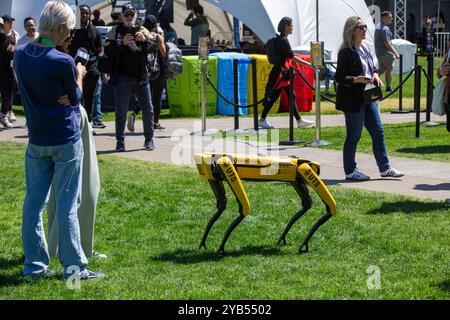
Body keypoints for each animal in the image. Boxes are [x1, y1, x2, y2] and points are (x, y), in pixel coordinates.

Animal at [194, 153, 338, 258]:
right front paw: (208, 244)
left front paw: (220, 248)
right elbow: (225, 205)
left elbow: (243, 208)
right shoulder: (216, 178)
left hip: (302, 173)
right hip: (298, 180)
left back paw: (302, 244)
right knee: (308, 204)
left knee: (327, 207)